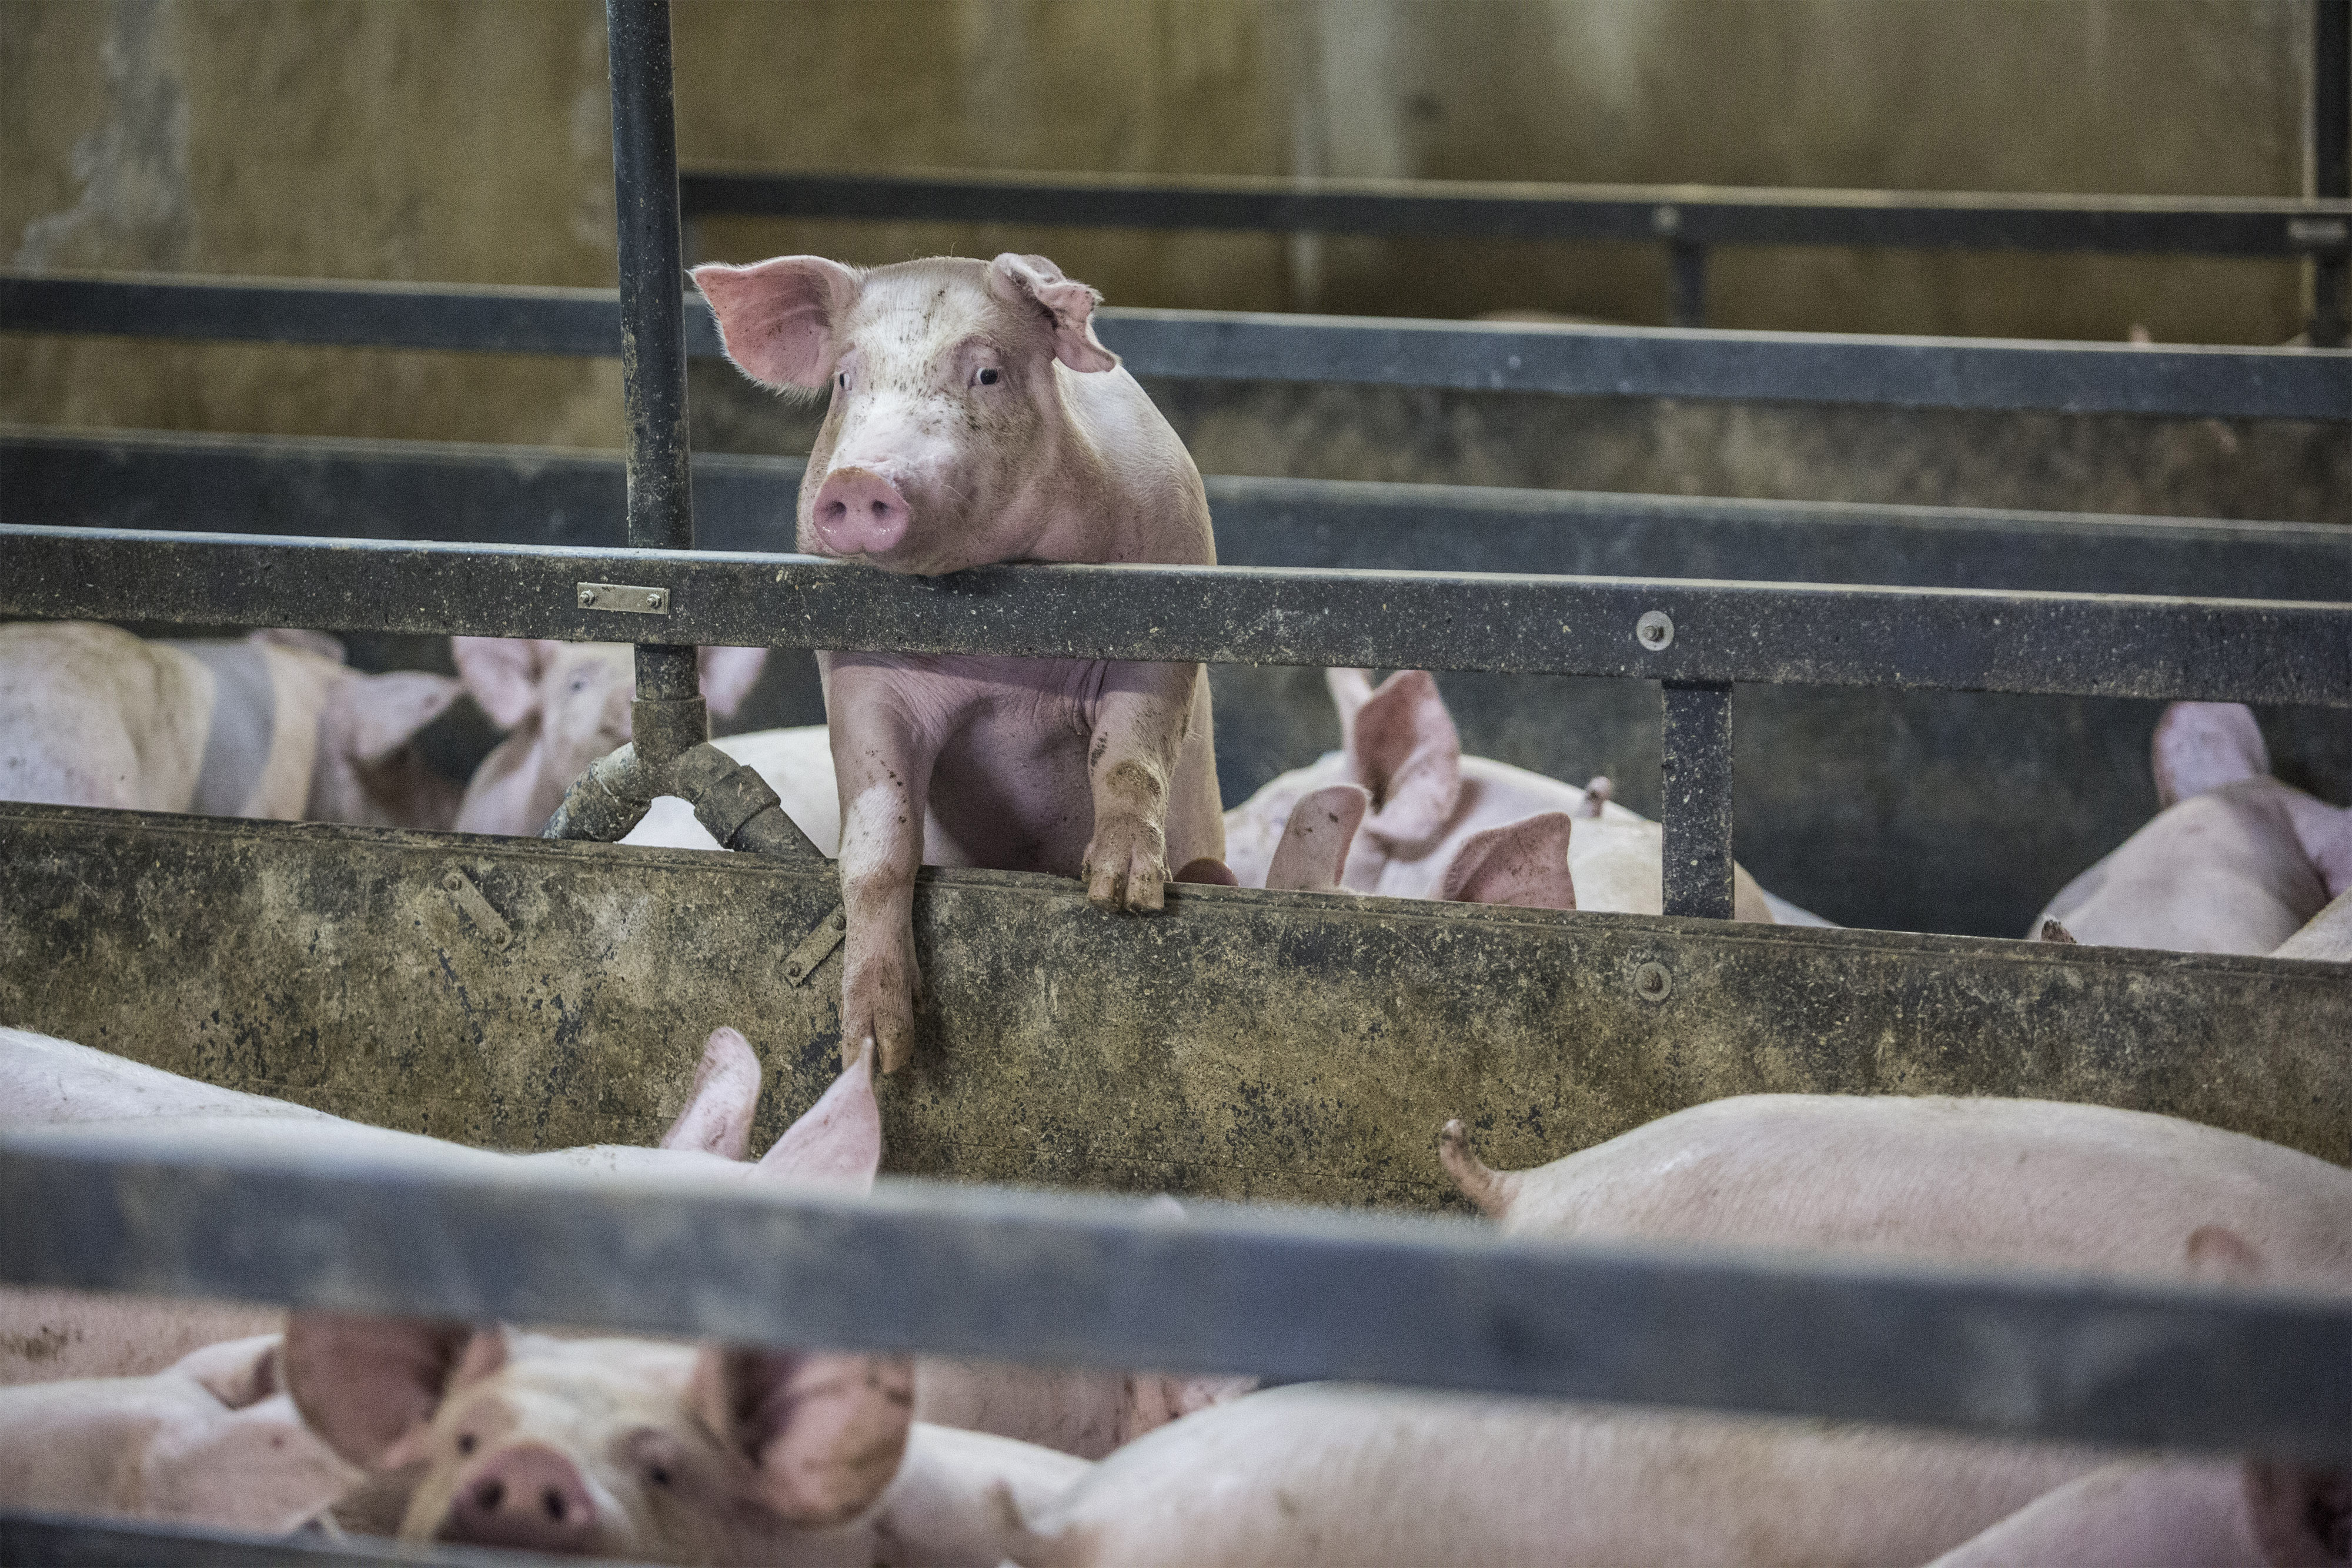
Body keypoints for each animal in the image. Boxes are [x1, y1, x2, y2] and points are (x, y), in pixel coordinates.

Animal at [692, 252, 1224, 1073]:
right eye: (845, 379)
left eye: (987, 374)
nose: (860, 481)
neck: (1004, 675)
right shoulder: (859, 671)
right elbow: (877, 842)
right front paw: (876, 1053)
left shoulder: (1167, 615)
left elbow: (1128, 759)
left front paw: (1124, 894)